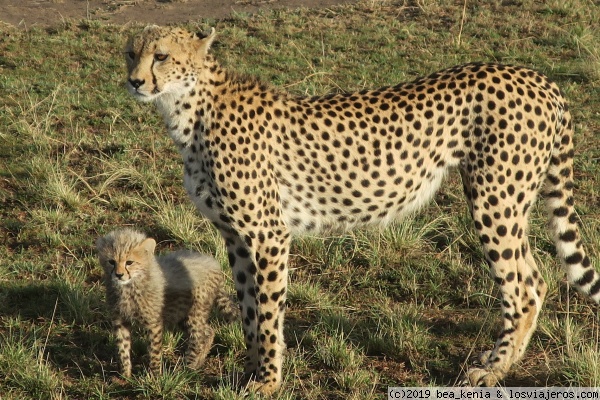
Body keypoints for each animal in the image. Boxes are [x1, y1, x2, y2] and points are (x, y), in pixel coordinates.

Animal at [124, 25, 596, 394]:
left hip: (495, 200)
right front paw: (251, 371)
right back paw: (500, 360)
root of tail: (536, 76)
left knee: (524, 287)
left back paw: (493, 371)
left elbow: (268, 312)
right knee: (535, 278)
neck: (190, 110)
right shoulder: (237, 237)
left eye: (161, 56)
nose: (134, 82)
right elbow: (248, 309)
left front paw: (269, 381)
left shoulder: (268, 235)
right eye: (131, 52)